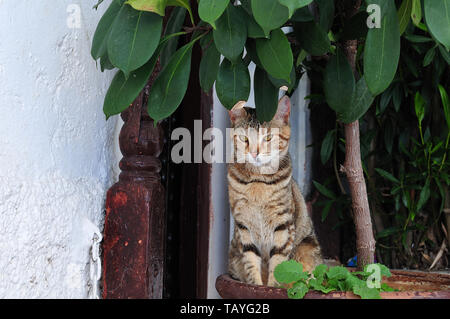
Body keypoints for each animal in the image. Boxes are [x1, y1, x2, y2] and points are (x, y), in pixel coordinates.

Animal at [227, 97, 322, 288]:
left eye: (269, 137)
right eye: (244, 138)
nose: (254, 153)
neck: (258, 181)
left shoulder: (283, 224)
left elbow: (278, 263)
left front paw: (271, 287)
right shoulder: (244, 225)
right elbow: (251, 262)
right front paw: (256, 286)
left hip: (306, 250)